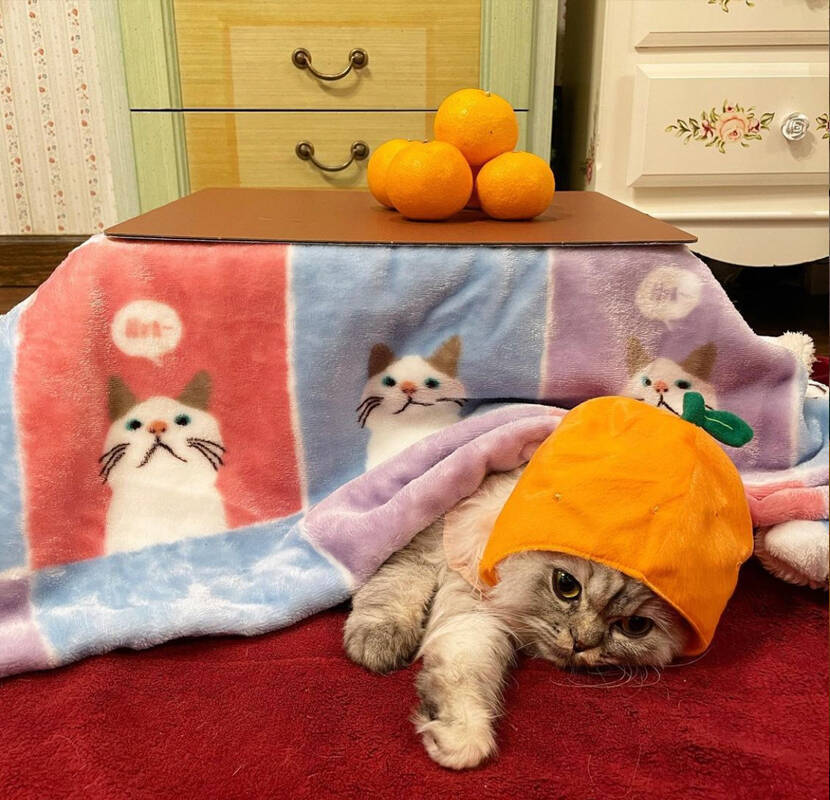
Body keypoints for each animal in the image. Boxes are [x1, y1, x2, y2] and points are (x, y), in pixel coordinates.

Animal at [344, 468, 688, 770]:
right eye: (566, 585)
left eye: (635, 626)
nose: (580, 643)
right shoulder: (428, 545)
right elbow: (398, 582)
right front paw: (377, 643)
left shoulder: (474, 618)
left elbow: (462, 672)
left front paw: (459, 734)